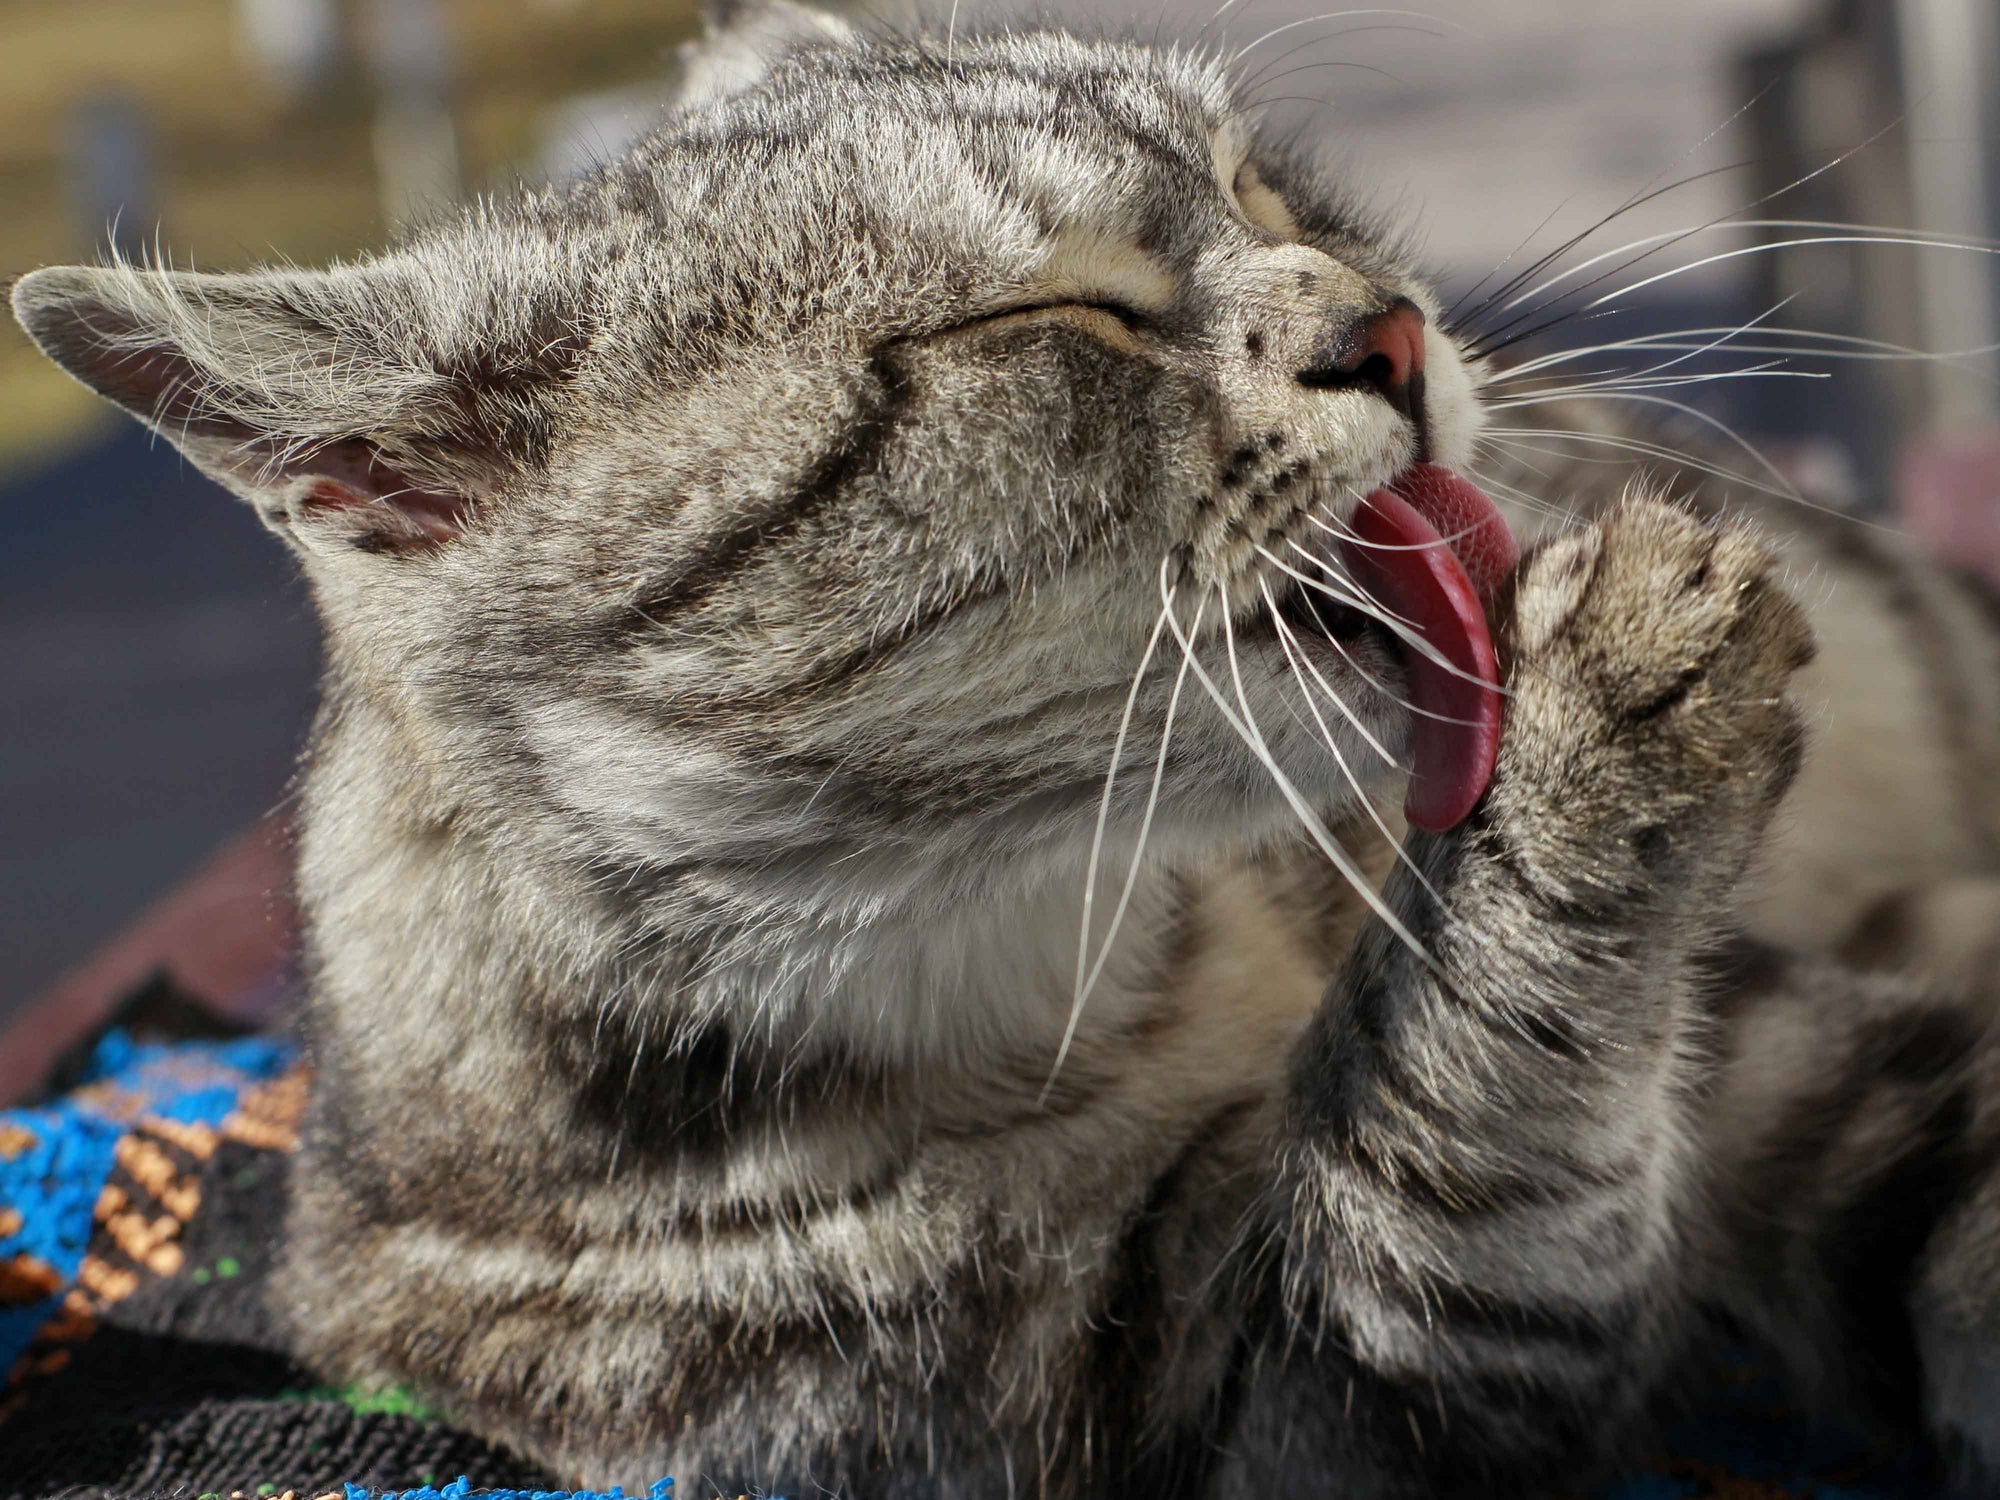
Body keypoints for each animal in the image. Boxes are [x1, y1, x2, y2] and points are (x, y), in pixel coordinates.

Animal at [11, 5, 2000, 1496]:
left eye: (1260, 182)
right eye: (1046, 319)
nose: (1392, 323)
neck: (1110, 953)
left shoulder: (1779, 1058)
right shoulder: (1257, 1393)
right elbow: (1448, 1133)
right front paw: (1598, 722)